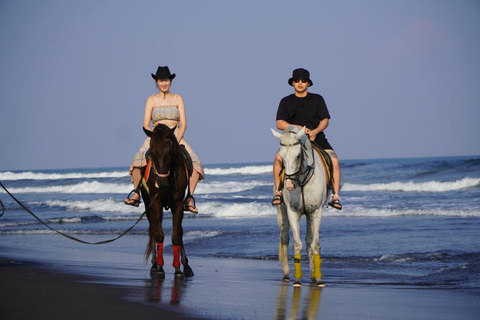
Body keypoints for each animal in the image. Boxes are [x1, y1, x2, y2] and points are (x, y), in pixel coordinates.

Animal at [142, 124, 194, 278]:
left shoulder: (177, 204)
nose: (162, 182)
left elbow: (176, 235)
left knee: (178, 232)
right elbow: (159, 235)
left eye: (170, 151)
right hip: (148, 206)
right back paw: (154, 265)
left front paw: (179, 269)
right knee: (153, 230)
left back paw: (186, 266)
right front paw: (159, 268)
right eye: (152, 152)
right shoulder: (156, 203)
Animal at [272, 125, 328, 288]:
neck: (301, 179)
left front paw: (318, 278)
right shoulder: (293, 211)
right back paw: (286, 274)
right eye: (282, 158)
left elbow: (314, 245)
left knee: (309, 240)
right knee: (284, 237)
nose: (289, 185)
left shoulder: (315, 211)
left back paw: (312, 275)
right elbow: (297, 244)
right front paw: (297, 279)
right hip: (282, 213)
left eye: (298, 156)